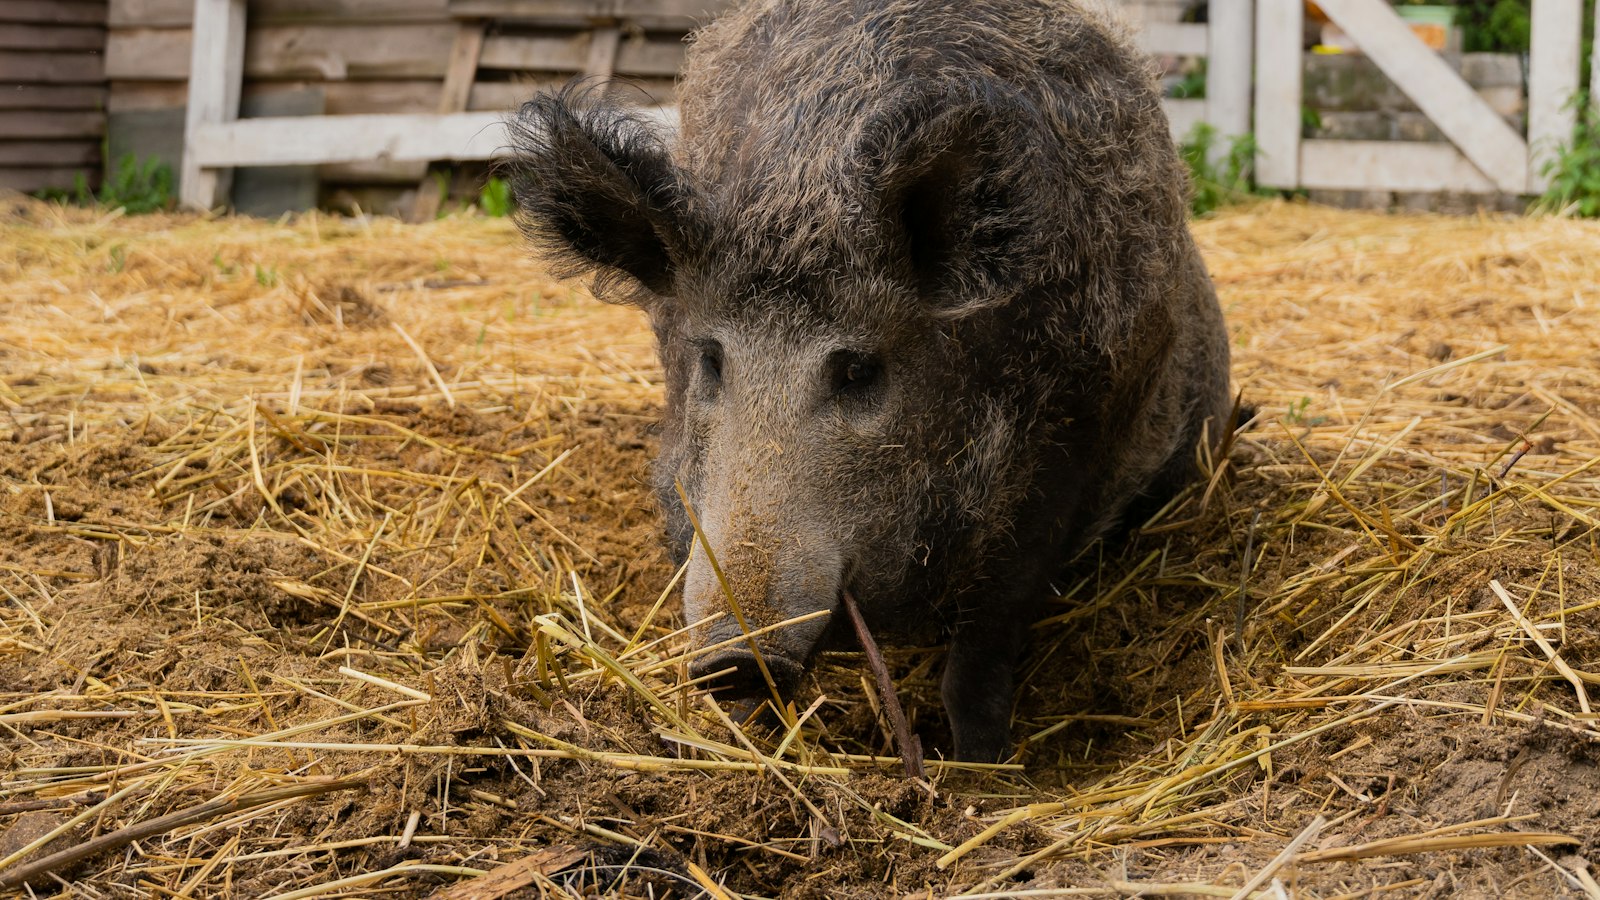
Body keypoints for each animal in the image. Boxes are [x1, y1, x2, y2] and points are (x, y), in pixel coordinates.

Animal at [505, 0, 1228, 755]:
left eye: (858, 368)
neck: (800, 187)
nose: (737, 656)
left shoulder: (1066, 451)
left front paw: (980, 766)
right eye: (709, 359)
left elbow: (981, 655)